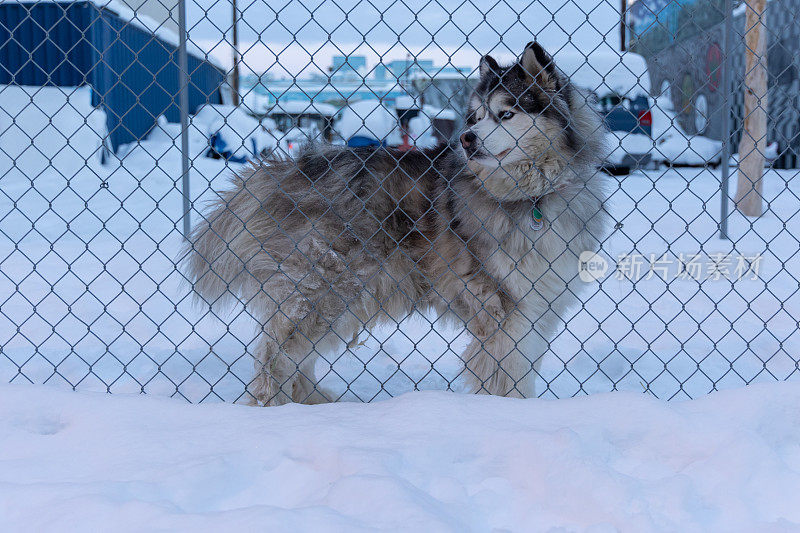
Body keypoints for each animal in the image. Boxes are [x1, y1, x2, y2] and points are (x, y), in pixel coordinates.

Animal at [184, 41, 608, 406]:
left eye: (506, 114)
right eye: (475, 118)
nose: (467, 138)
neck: (530, 196)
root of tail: (283, 169)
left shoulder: (537, 306)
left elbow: (524, 369)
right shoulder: (503, 306)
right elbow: (512, 377)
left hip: (339, 297)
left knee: (295, 357)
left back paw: (313, 403)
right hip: (325, 289)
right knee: (277, 355)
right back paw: (275, 406)